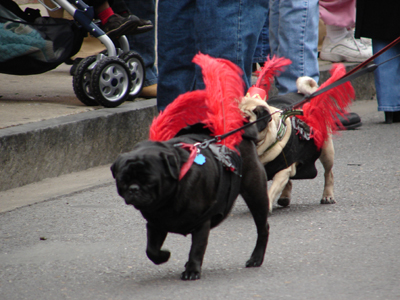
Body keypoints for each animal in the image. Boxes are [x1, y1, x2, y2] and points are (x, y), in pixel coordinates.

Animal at [239, 78, 336, 212]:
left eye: (245, 123)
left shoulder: (282, 171)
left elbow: (271, 191)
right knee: (289, 181)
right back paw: (285, 197)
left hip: (326, 152)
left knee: (328, 173)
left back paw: (328, 195)